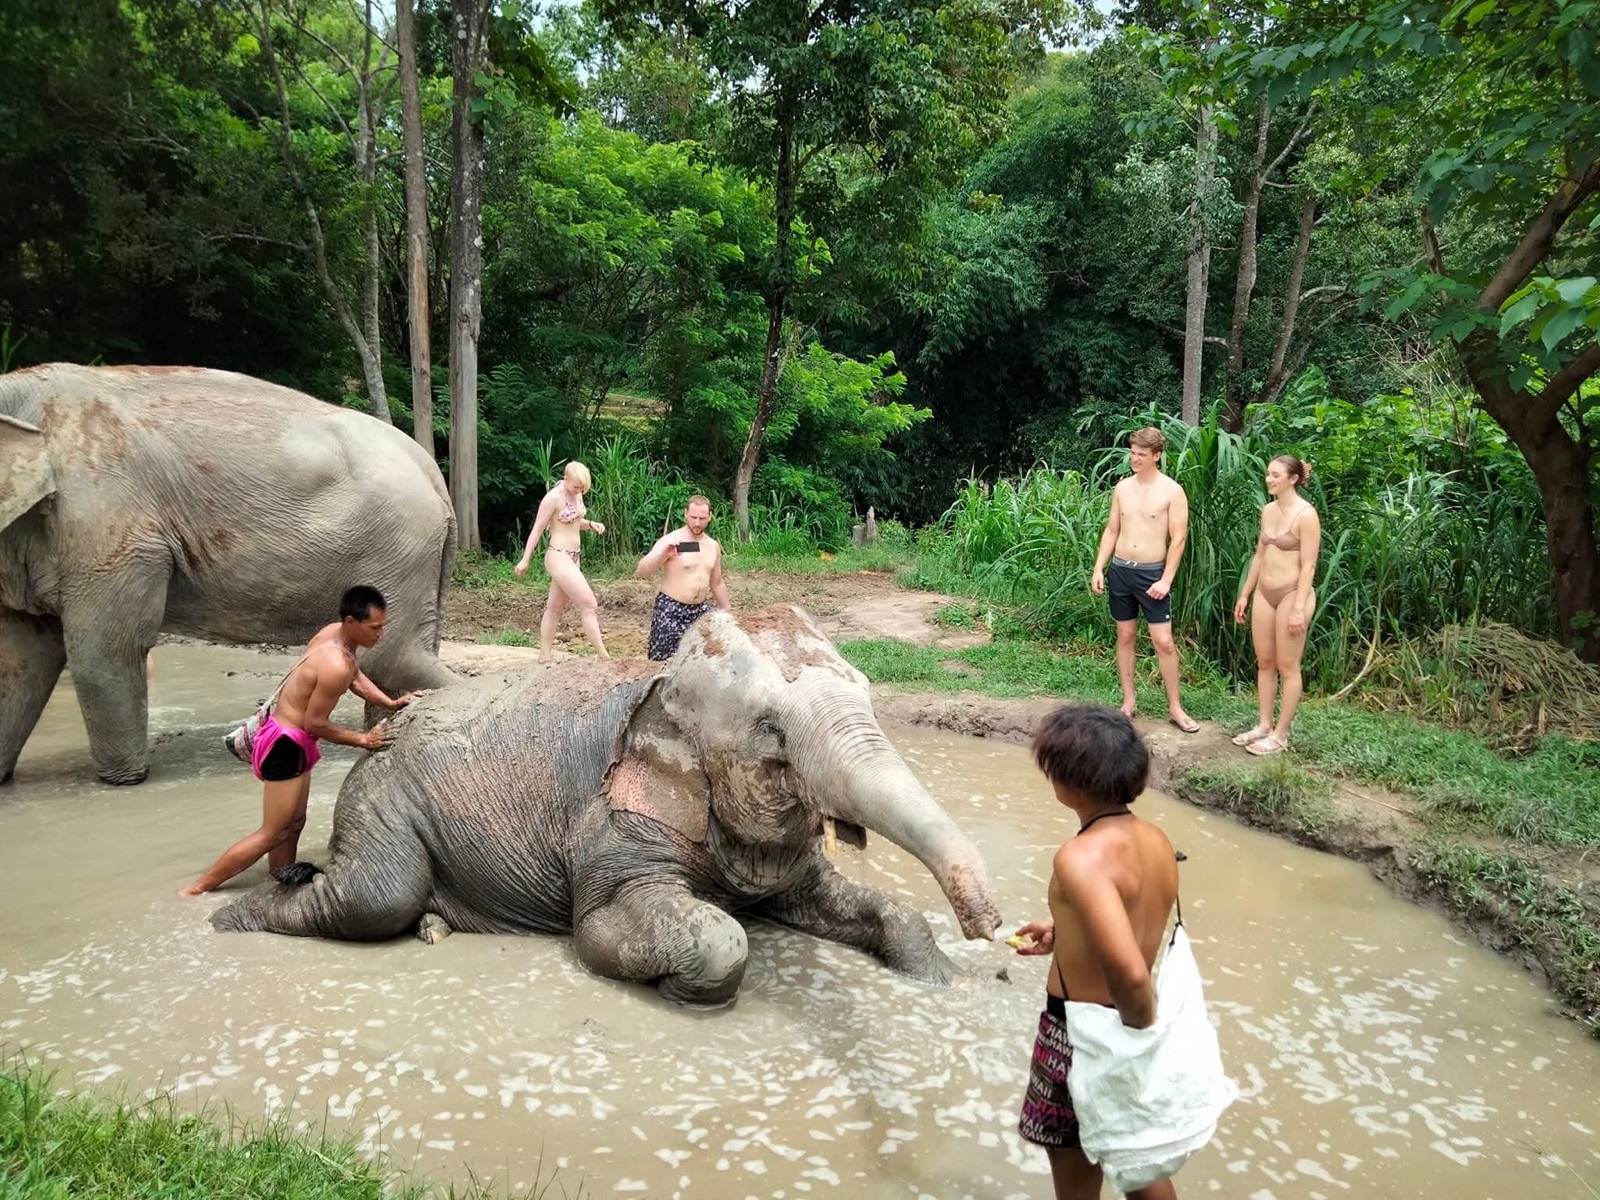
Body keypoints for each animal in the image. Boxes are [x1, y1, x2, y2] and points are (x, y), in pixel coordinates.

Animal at [0, 363, 456, 785]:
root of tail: (431, 471)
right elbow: (21, 656)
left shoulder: (104, 523)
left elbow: (103, 649)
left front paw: (125, 780)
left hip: (398, 543)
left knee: (391, 658)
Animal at [212, 604, 1004, 1005]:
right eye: (770, 730)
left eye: (869, 693)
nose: (994, 928)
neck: (662, 681)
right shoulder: (612, 826)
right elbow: (666, 932)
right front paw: (684, 987)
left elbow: (843, 899)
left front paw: (946, 982)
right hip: (382, 796)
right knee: (376, 896)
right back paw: (230, 919)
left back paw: (434, 927)